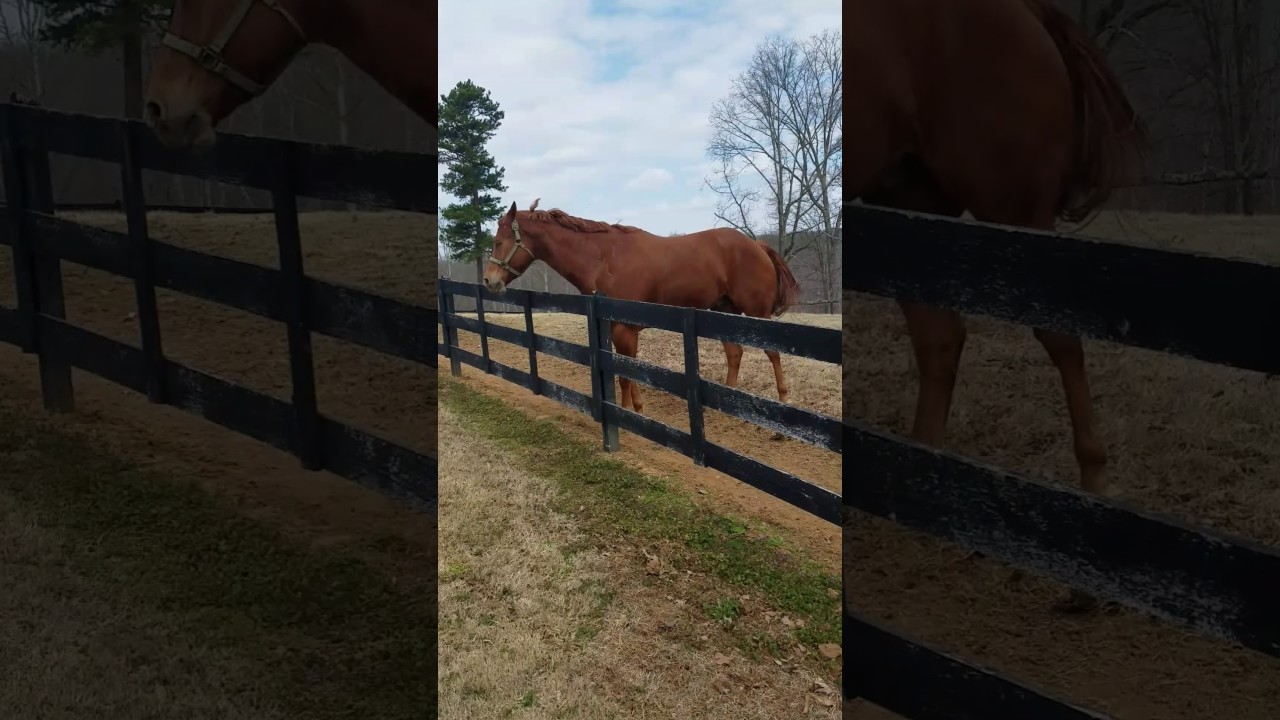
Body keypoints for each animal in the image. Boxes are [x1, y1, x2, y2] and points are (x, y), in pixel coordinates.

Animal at [482, 199, 800, 415]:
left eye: (499, 242)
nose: (489, 280)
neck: (603, 258)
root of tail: (757, 246)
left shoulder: (625, 328)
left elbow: (625, 373)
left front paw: (627, 413)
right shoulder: (613, 327)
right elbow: (626, 368)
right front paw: (637, 408)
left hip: (756, 315)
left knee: (773, 354)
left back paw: (784, 401)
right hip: (726, 313)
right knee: (734, 354)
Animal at [848, 0, 1146, 498]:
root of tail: (1028, 9)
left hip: (1013, 208)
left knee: (1060, 336)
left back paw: (1094, 478)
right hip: (910, 207)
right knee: (940, 341)